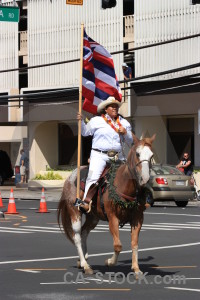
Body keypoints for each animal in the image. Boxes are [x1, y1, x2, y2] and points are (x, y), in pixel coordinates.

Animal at [57, 135, 155, 276]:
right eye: (137, 154)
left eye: (151, 155)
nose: (145, 179)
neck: (124, 185)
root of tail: (71, 176)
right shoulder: (113, 218)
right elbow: (118, 245)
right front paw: (109, 262)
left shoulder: (138, 218)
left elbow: (134, 243)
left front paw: (136, 268)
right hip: (75, 212)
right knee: (77, 236)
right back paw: (85, 265)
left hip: (93, 217)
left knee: (84, 232)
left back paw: (82, 260)